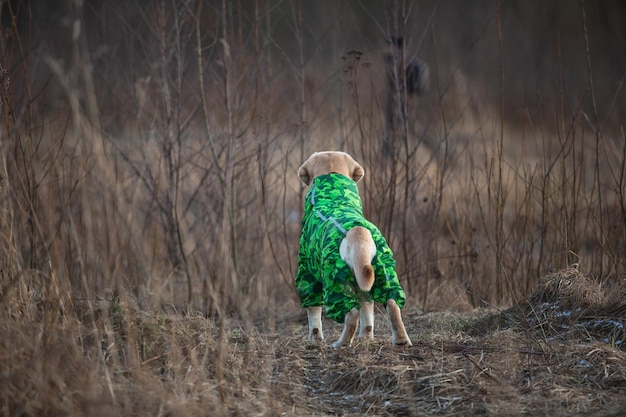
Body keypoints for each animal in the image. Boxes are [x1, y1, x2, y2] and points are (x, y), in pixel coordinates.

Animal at [294, 151, 412, 346]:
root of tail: (357, 231)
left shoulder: (308, 276)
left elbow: (314, 315)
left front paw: (314, 340)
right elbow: (368, 314)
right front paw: (366, 338)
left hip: (335, 281)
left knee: (351, 314)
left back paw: (340, 343)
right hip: (383, 274)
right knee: (391, 304)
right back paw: (399, 340)